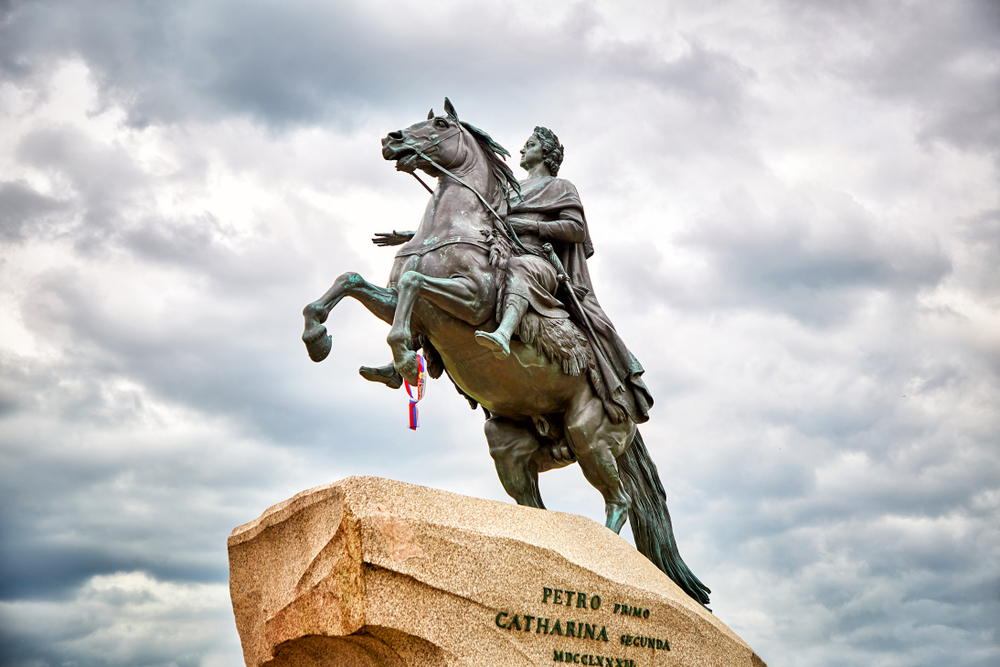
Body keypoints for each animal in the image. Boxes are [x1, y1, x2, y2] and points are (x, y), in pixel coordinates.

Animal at [298, 99, 712, 604]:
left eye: (440, 124)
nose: (391, 140)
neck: (448, 229)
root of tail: (632, 412)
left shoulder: (472, 301)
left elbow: (415, 286)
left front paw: (403, 360)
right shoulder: (397, 304)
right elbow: (351, 280)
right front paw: (319, 338)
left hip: (589, 436)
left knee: (620, 502)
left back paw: (607, 563)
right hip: (509, 448)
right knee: (538, 506)